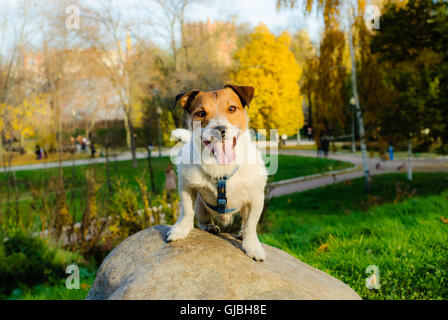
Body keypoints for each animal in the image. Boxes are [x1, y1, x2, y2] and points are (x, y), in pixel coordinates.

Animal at [167, 84, 266, 262]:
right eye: (201, 113)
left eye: (232, 108)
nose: (220, 129)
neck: (221, 167)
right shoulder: (187, 187)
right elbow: (186, 212)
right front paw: (180, 230)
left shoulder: (255, 198)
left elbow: (250, 225)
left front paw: (253, 247)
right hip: (200, 205)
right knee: (202, 218)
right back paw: (210, 226)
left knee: (244, 223)